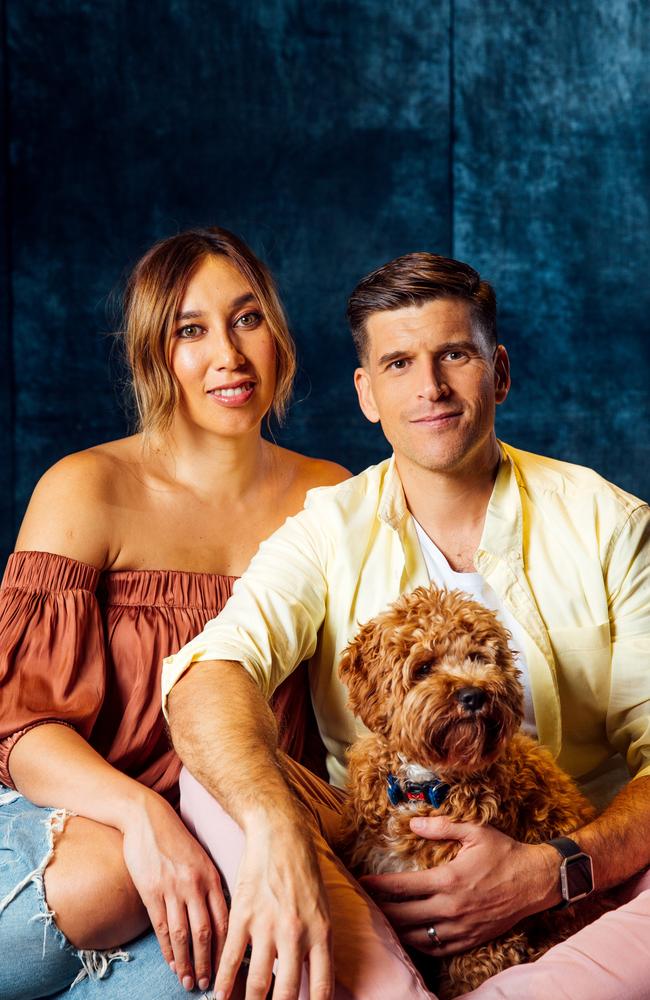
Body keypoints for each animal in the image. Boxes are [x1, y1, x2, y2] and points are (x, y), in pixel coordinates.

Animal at [336, 584, 596, 1000]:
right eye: (424, 667)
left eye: (478, 657)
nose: (474, 695)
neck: (424, 785)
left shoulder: (478, 922)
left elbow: (475, 970)